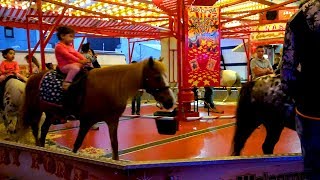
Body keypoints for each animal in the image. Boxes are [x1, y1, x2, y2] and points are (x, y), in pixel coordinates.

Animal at [19, 57, 176, 160]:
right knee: (35, 128)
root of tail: (33, 77)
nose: (170, 101)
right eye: (157, 77)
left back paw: (42, 146)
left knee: (44, 129)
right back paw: (37, 147)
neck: (108, 87)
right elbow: (77, 144)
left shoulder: (112, 121)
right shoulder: (86, 121)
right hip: (36, 110)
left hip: (51, 113)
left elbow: (115, 145)